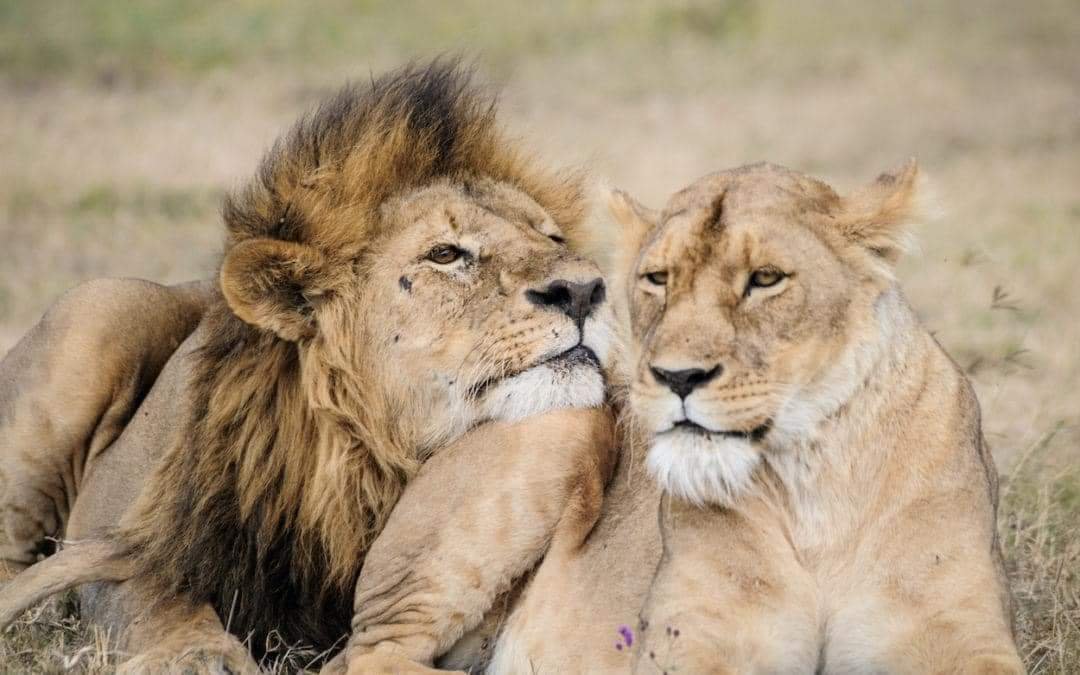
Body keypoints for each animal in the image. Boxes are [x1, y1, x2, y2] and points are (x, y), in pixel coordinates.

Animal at [0, 61, 620, 671]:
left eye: (552, 237)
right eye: (445, 254)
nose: (585, 289)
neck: (366, 466)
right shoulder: (144, 540)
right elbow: (156, 599)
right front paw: (201, 655)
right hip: (100, 310)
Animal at [319, 161, 1024, 674]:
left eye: (766, 279)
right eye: (657, 278)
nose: (676, 377)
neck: (812, 481)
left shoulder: (960, 633)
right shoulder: (695, 638)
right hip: (557, 427)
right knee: (364, 659)